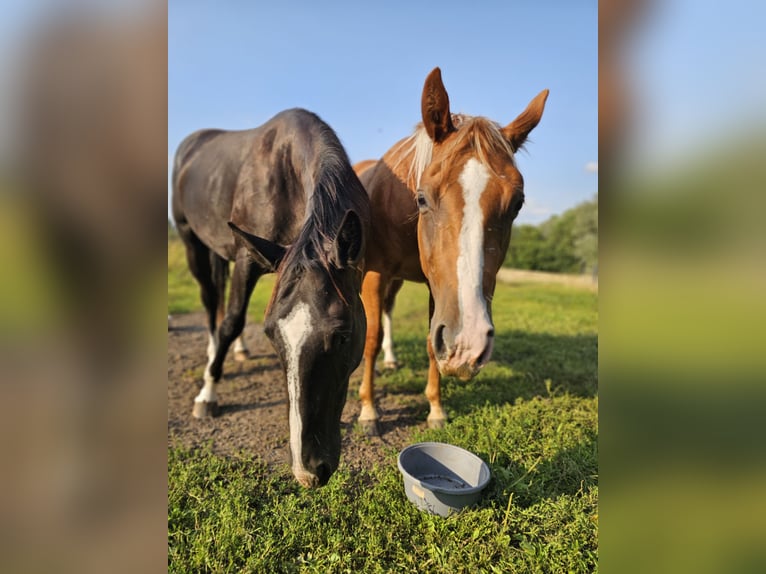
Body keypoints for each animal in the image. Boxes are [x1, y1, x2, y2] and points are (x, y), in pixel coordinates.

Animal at [172, 108, 370, 487]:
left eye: (342, 336)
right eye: (272, 335)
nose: (308, 471)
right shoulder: (247, 259)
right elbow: (233, 320)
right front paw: (207, 393)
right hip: (192, 243)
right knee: (212, 304)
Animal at [357, 67, 548, 435]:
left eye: (518, 204)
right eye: (422, 198)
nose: (467, 345)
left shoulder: (437, 286)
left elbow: (432, 343)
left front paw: (436, 409)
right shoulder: (374, 273)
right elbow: (370, 338)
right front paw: (369, 411)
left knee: (388, 311)